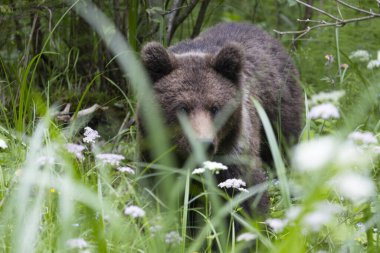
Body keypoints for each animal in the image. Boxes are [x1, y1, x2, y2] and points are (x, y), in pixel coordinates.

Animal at [140, 22, 302, 212]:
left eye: (215, 107)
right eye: (182, 108)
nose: (204, 144)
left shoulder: (233, 152)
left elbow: (245, 193)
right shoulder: (155, 152)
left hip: (277, 114)